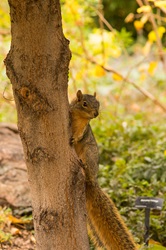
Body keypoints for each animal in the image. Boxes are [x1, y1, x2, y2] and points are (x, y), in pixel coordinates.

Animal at [69, 90, 137, 250]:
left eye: (98, 103)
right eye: (84, 103)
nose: (96, 113)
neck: (80, 117)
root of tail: (93, 180)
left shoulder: (84, 129)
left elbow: (80, 135)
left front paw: (75, 138)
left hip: (89, 153)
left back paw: (84, 166)